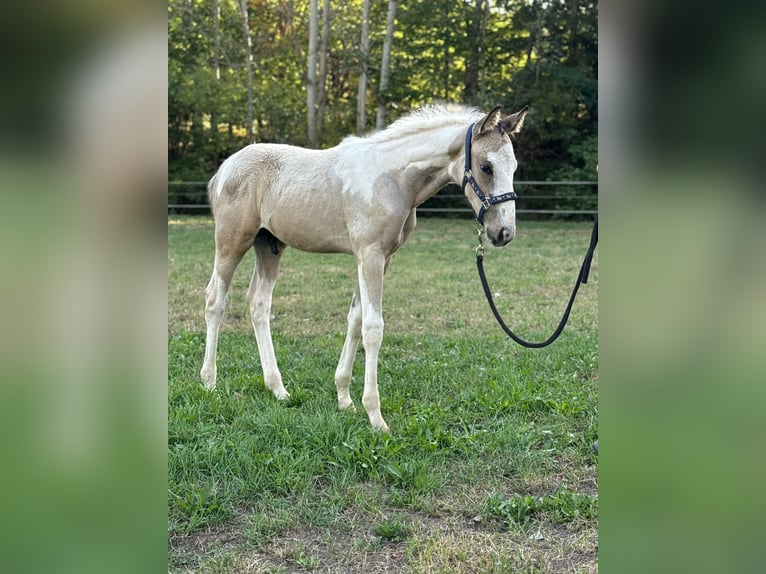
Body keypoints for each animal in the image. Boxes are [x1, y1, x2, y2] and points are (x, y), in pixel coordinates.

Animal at [200, 104, 528, 432]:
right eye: (486, 167)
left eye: (512, 167)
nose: (504, 232)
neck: (392, 178)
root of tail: (224, 168)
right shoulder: (370, 254)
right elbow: (373, 327)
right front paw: (376, 417)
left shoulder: (379, 258)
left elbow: (355, 319)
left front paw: (344, 398)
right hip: (232, 242)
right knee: (215, 300)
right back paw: (210, 382)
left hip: (270, 245)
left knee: (258, 303)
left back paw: (278, 389)